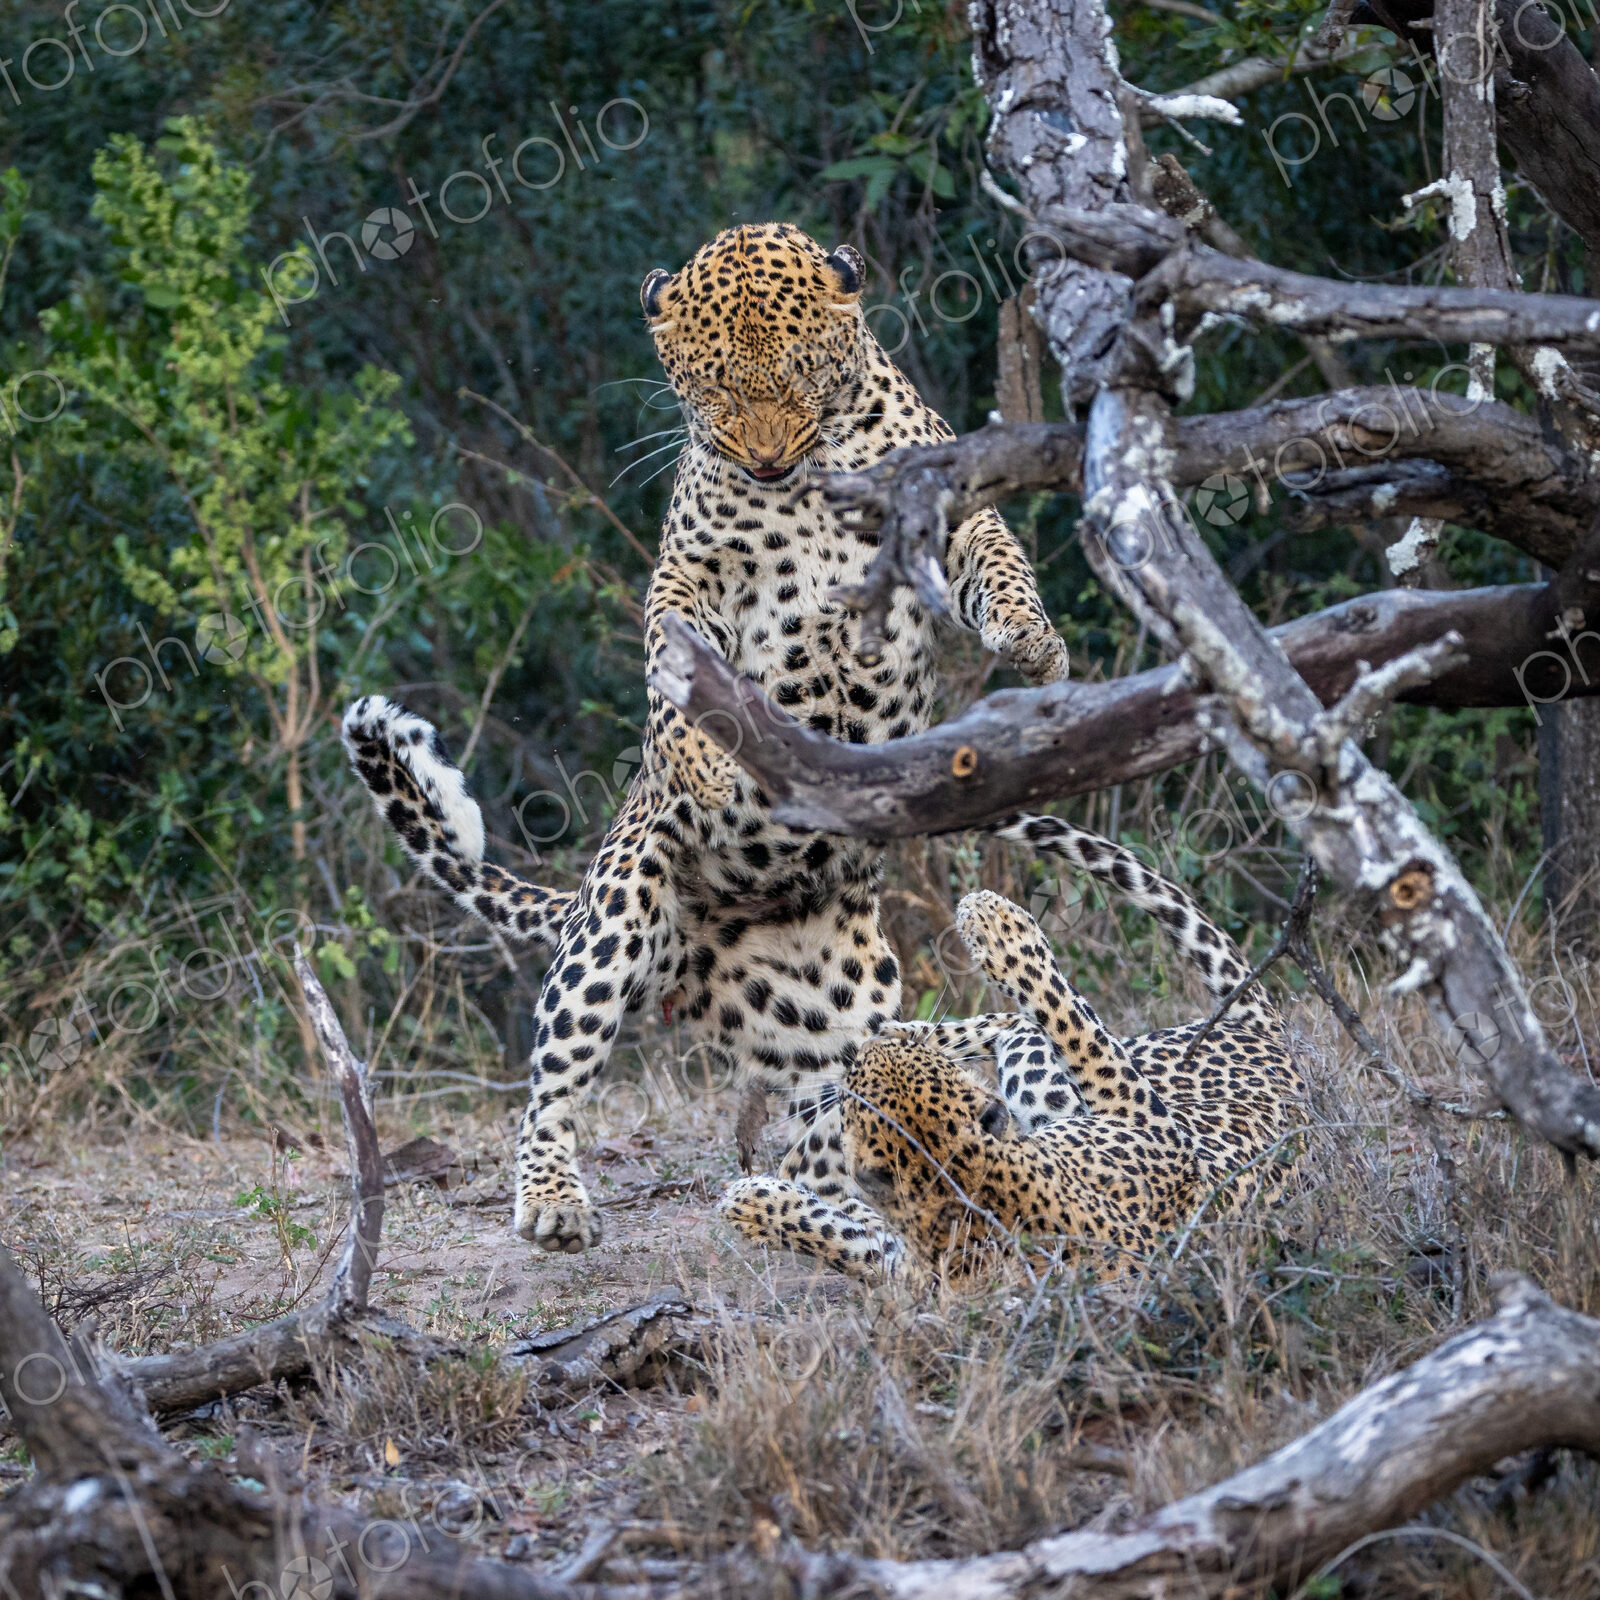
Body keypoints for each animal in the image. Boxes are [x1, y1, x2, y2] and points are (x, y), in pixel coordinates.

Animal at [342, 221, 1069, 1256]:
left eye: (802, 373)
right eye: (713, 384)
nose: (764, 460)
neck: (807, 485)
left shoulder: (943, 513)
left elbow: (1000, 560)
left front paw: (1033, 641)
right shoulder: (692, 575)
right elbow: (666, 657)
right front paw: (701, 758)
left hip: (843, 1007)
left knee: (830, 1112)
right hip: (617, 910)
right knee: (555, 1074)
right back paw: (554, 1199)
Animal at [719, 814, 1304, 1288]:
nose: (871, 1058)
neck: (978, 1185)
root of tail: (1274, 1037)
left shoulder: (1157, 1132)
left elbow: (1076, 1030)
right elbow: (839, 1237)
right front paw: (752, 1203)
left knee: (1033, 1024)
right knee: (1035, 1025)